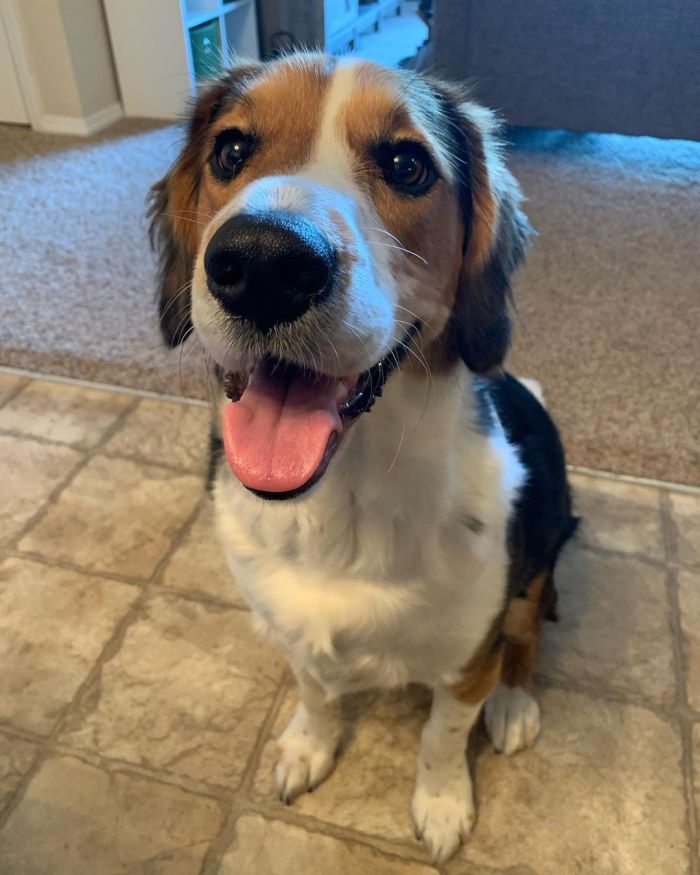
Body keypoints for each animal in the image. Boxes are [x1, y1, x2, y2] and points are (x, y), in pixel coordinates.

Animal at [148, 53, 576, 864]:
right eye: (230, 151)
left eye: (407, 165)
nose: (263, 264)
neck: (340, 503)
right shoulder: (293, 632)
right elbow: (316, 693)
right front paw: (307, 748)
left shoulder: (466, 663)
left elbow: (443, 736)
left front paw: (442, 804)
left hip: (541, 556)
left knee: (528, 632)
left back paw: (515, 704)